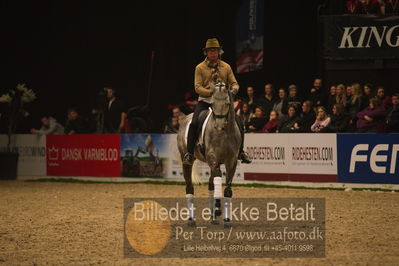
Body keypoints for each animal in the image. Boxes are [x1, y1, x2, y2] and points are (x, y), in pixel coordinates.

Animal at [177, 81, 241, 227]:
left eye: (227, 103)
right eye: (212, 103)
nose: (219, 126)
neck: (224, 134)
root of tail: (185, 118)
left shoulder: (232, 161)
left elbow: (227, 188)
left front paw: (227, 219)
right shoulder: (213, 157)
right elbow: (218, 178)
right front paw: (218, 209)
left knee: (211, 185)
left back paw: (213, 218)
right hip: (187, 161)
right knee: (189, 187)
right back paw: (191, 219)